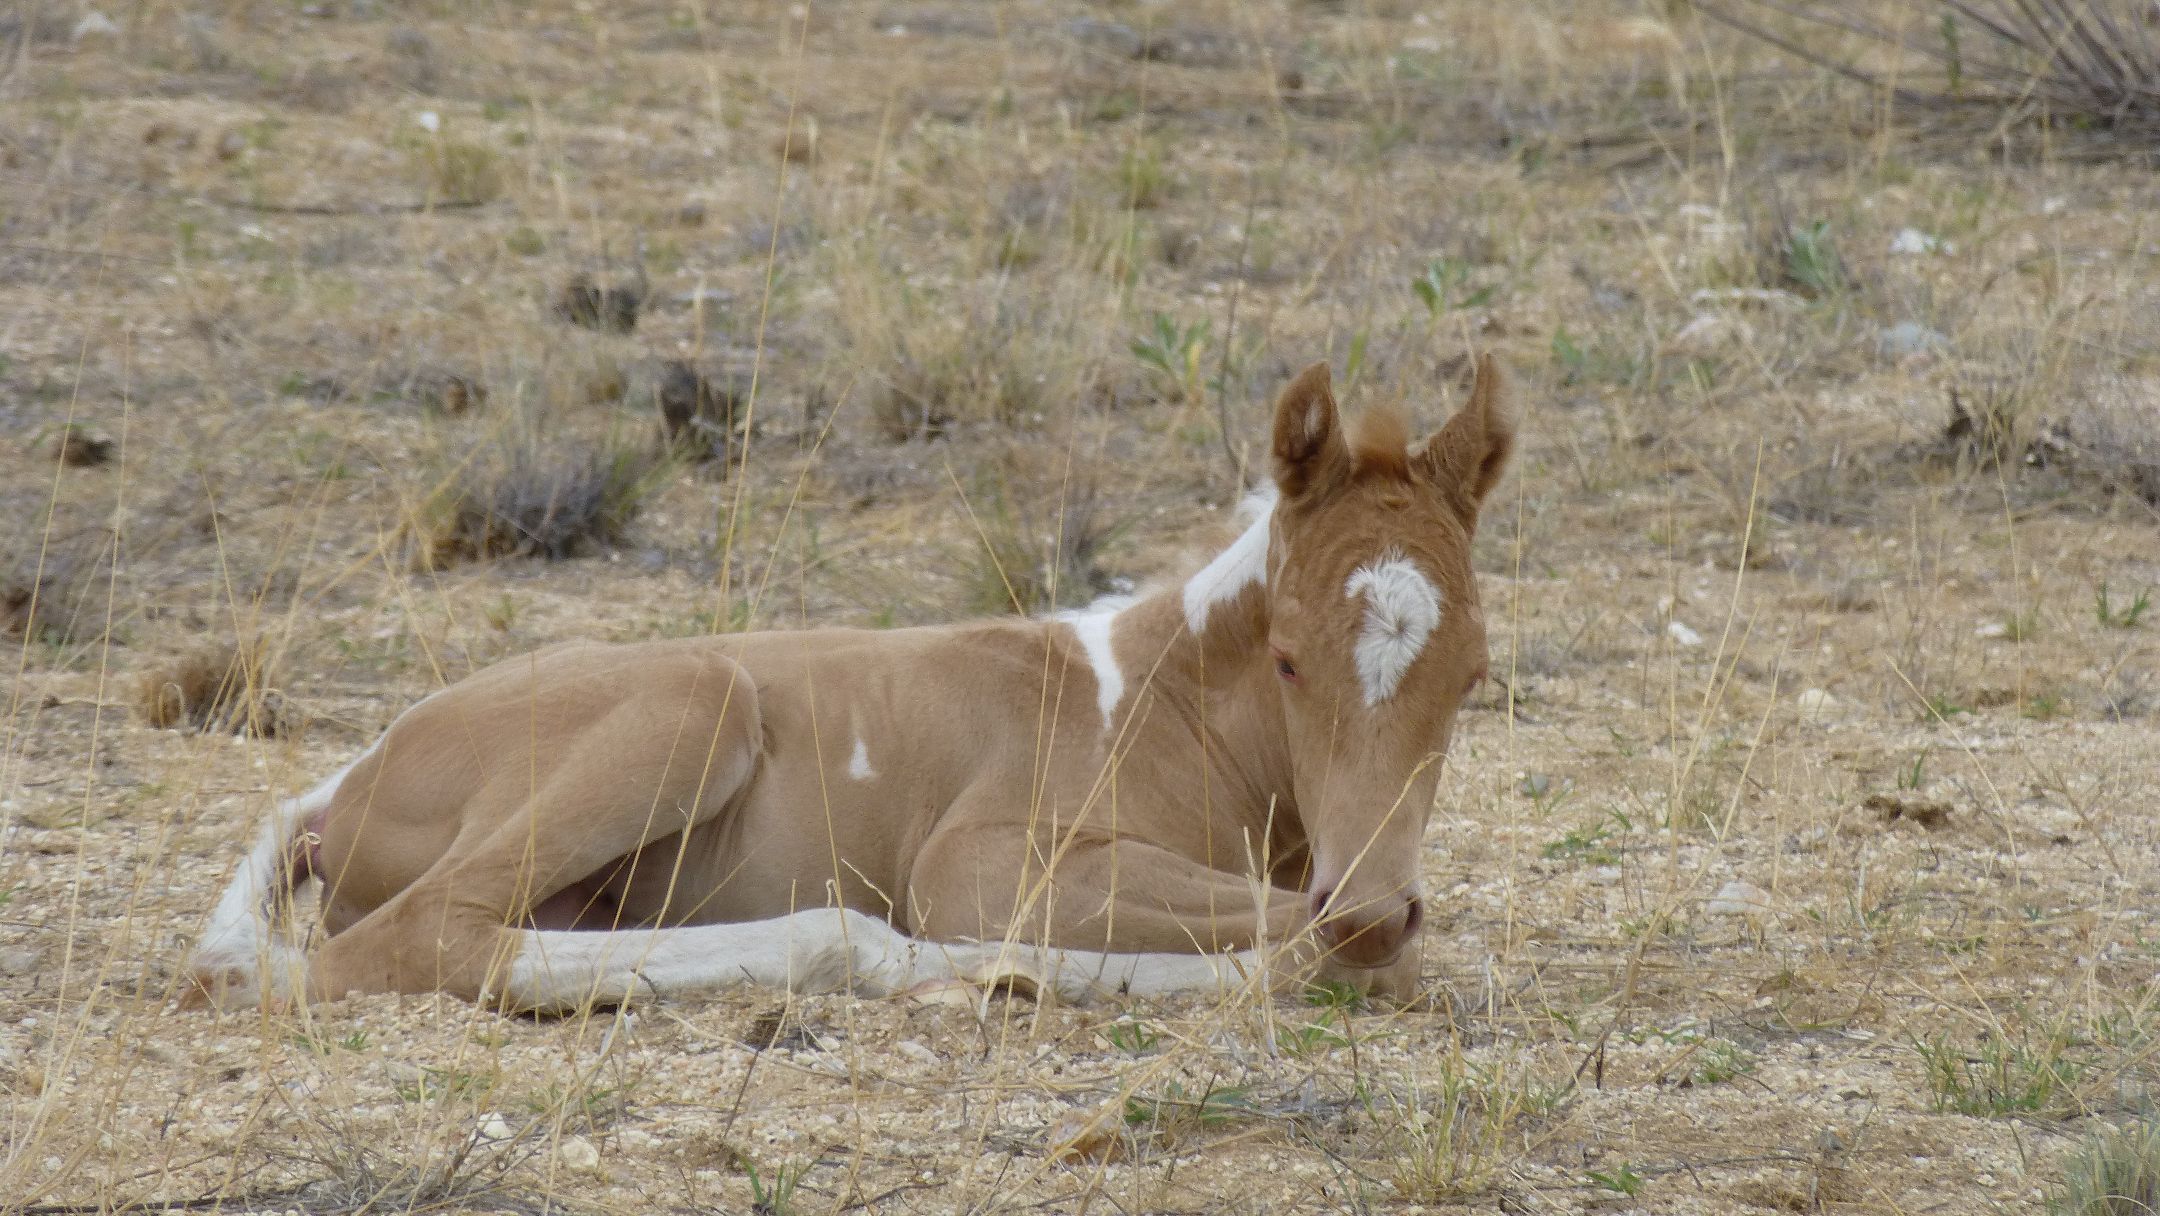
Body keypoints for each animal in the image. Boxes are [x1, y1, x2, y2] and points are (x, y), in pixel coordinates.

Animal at [194, 354, 1512, 1010]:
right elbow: (1322, 945)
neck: (1162, 695)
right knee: (417, 939)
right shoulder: (977, 859)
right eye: (1288, 654)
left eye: (1475, 676)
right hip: (694, 704)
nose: (1373, 900)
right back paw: (887, 958)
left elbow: (1373, 952)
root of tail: (344, 786)